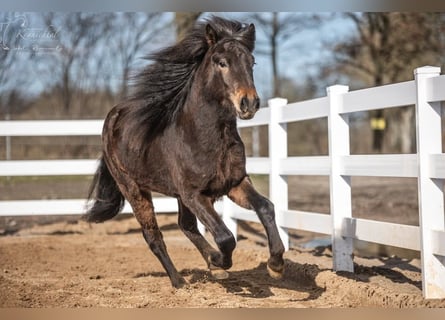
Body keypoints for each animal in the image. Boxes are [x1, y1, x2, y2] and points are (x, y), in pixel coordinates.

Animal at [83, 16, 284, 288]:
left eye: (251, 62)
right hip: (134, 189)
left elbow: (266, 207)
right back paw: (180, 281)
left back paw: (211, 265)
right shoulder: (193, 194)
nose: (249, 103)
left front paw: (276, 265)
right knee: (153, 236)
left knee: (186, 226)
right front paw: (220, 261)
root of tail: (112, 117)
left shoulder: (234, 184)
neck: (202, 137)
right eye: (222, 63)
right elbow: (225, 237)